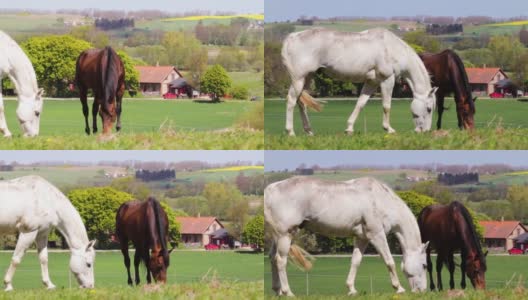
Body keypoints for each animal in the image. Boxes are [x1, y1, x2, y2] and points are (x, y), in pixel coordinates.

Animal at [266, 176, 432, 296]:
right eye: (424, 265)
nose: (422, 291)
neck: (381, 200)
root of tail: (270, 189)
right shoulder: (376, 235)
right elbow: (389, 261)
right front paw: (399, 288)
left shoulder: (362, 238)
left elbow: (355, 262)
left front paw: (351, 289)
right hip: (285, 235)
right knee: (280, 260)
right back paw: (287, 292)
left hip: (278, 237)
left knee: (272, 258)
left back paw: (277, 290)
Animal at [282, 28, 440, 136]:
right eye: (429, 109)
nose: (425, 131)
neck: (392, 48)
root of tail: (291, 38)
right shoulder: (387, 80)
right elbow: (386, 106)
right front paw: (388, 129)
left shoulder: (371, 82)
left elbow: (360, 104)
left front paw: (349, 128)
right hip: (299, 78)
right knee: (291, 100)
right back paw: (290, 132)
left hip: (307, 78)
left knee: (301, 103)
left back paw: (309, 131)